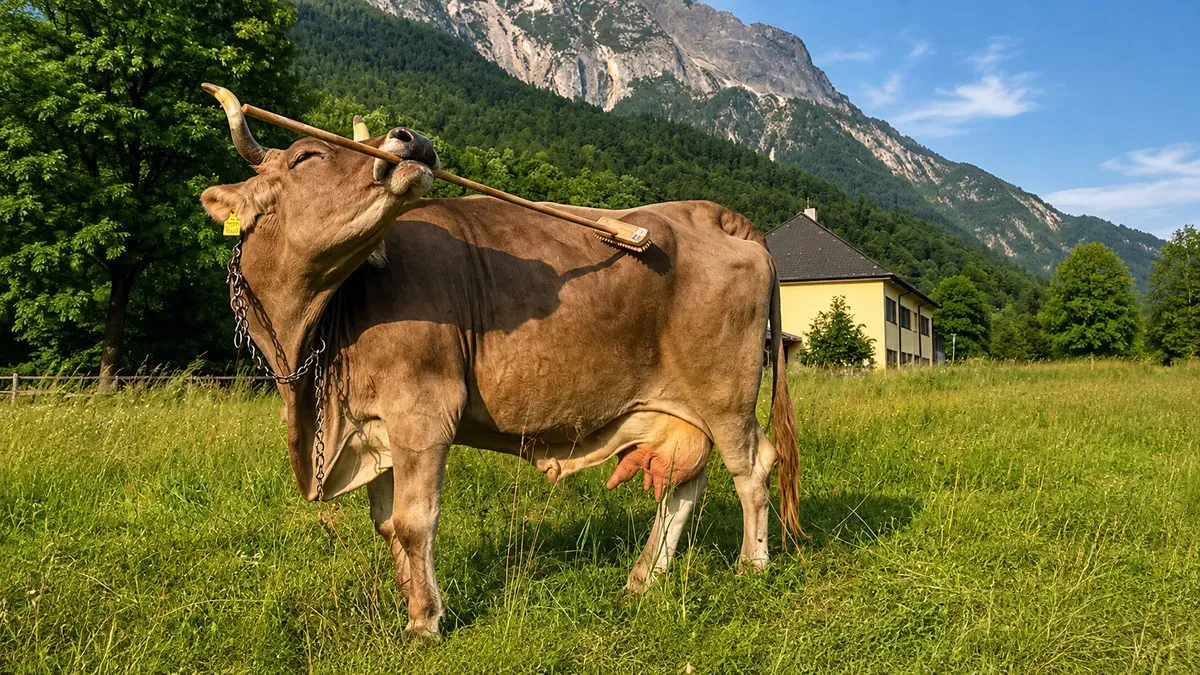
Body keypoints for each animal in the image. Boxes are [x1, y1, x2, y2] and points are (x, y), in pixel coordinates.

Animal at [200, 85, 800, 641]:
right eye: (304, 157)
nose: (410, 138)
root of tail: (713, 213)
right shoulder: (374, 427)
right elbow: (387, 525)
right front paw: (409, 599)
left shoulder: (423, 412)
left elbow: (414, 521)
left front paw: (425, 622)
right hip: (684, 406)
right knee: (686, 480)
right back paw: (643, 577)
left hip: (726, 394)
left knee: (752, 467)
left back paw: (751, 564)